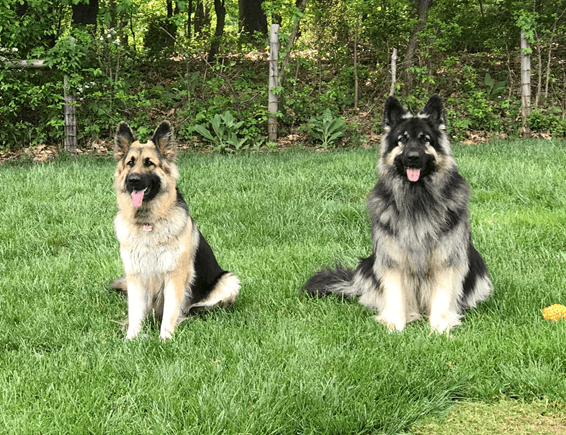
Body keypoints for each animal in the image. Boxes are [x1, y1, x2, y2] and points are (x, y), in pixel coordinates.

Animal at [112, 120, 241, 340]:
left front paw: (165, 339)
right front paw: (131, 338)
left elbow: (170, 311)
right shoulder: (135, 276)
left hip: (229, 280)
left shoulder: (174, 275)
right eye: (130, 163)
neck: (149, 222)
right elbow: (135, 311)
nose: (133, 180)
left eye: (149, 163)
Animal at [304, 95, 494, 334]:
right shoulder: (392, 259)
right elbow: (395, 296)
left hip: (477, 266)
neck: (416, 198)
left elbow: (442, 298)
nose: (412, 158)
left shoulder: (446, 260)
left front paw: (439, 328)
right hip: (367, 265)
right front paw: (395, 326)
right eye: (402, 139)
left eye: (425, 139)